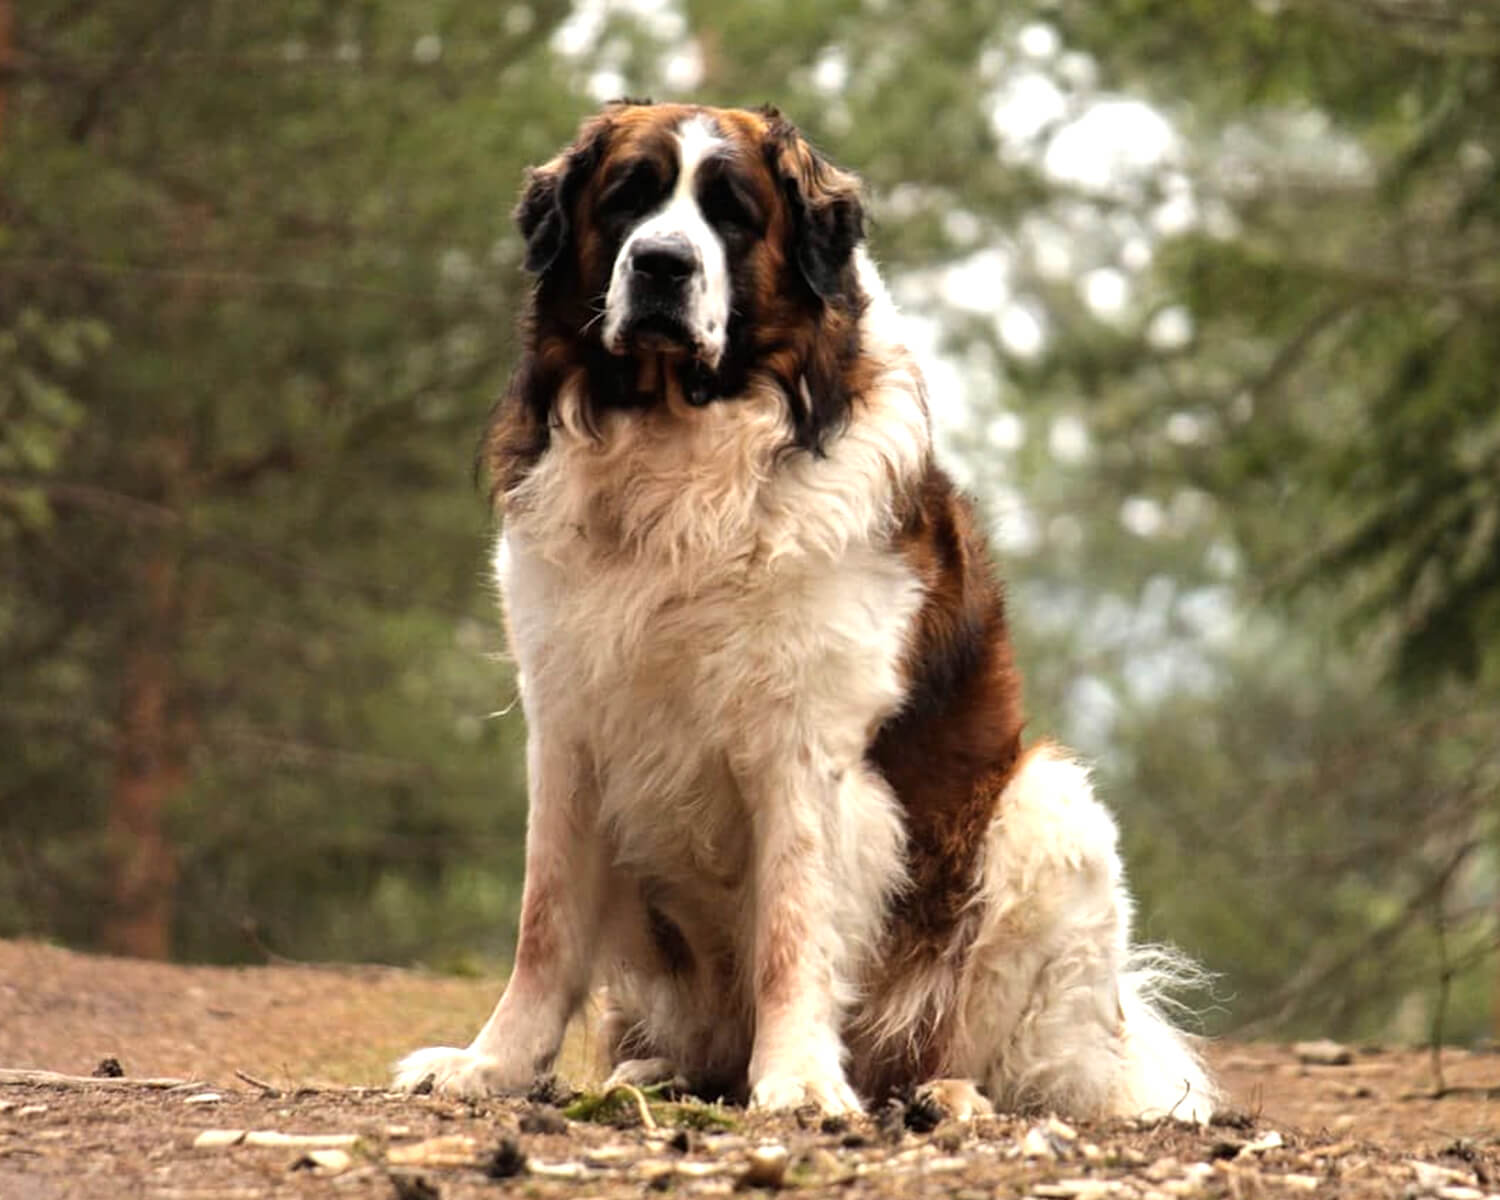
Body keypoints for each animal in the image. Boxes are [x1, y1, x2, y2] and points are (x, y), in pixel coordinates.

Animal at [393, 103, 1212, 1128]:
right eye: (627, 198)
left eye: (732, 214)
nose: (661, 264)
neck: (677, 459)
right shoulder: (569, 728)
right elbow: (543, 924)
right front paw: (490, 1065)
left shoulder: (806, 746)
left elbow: (792, 924)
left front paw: (799, 1082)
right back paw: (655, 1073)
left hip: (1049, 809)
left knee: (1017, 1063)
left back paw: (946, 1092)